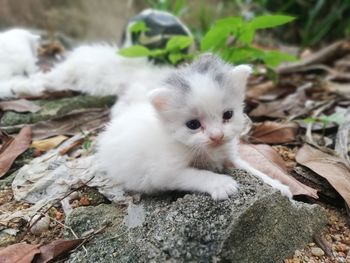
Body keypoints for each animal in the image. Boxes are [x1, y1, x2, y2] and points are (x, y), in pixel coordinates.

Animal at [96, 55, 292, 200]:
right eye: (193, 125)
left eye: (228, 115)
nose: (217, 136)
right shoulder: (164, 171)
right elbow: (195, 174)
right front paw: (222, 183)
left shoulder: (229, 155)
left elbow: (251, 168)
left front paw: (277, 185)